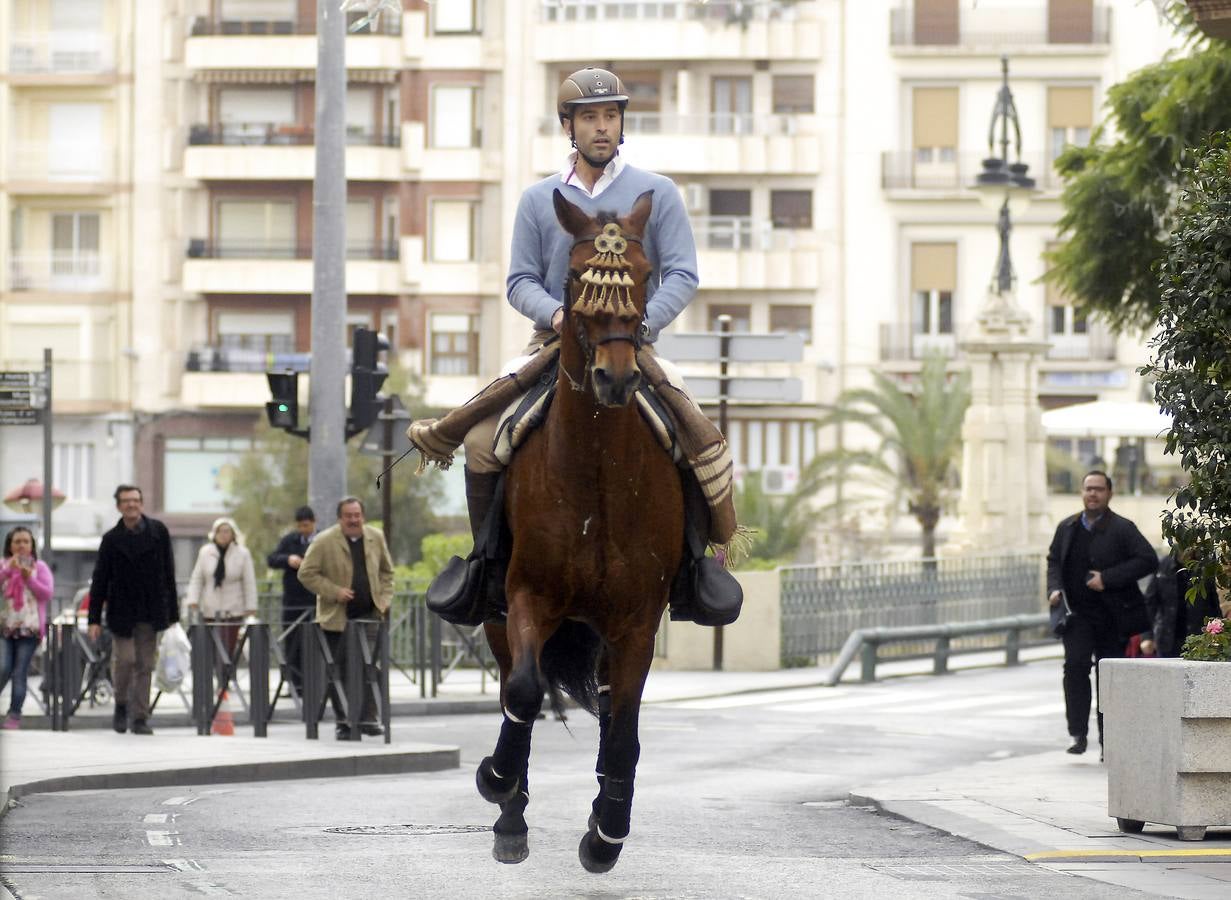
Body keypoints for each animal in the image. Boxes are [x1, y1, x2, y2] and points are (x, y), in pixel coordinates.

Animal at [472, 189, 684, 871]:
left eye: (645, 275)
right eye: (572, 279)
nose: (615, 378)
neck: (593, 473)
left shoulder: (637, 622)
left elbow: (623, 737)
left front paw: (606, 833)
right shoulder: (527, 597)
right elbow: (523, 691)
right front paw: (497, 780)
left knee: (614, 720)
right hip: (499, 619)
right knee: (518, 688)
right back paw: (510, 815)